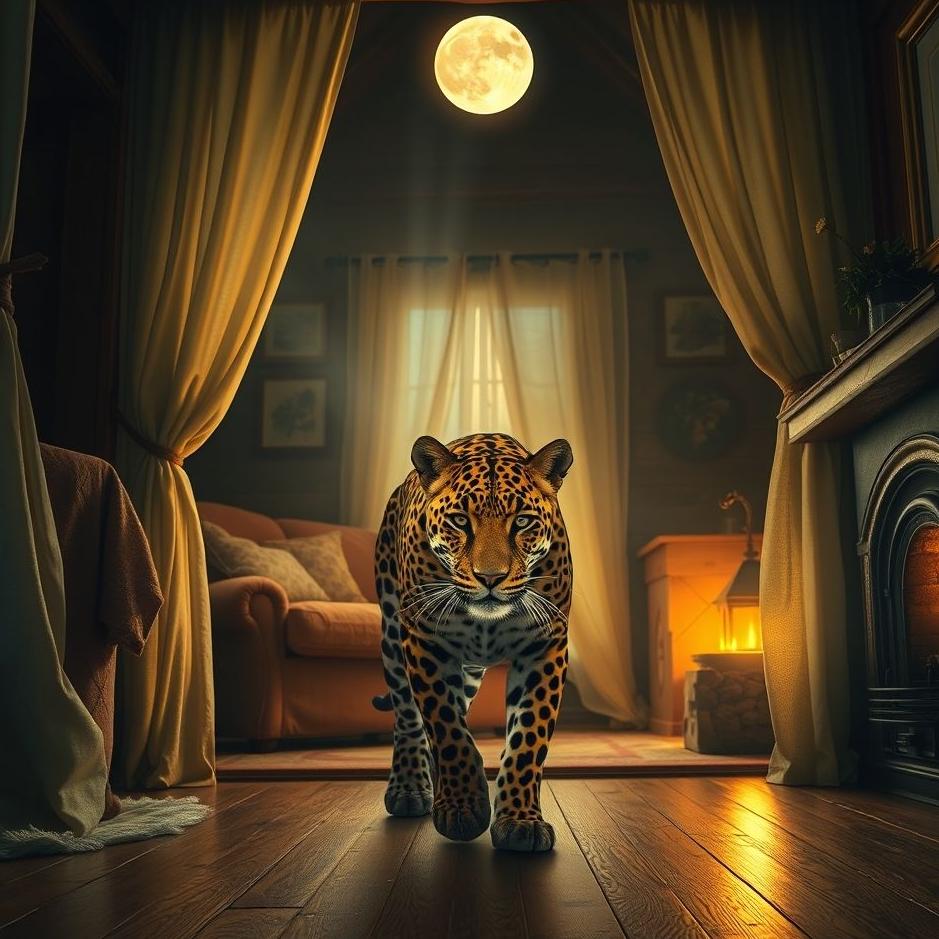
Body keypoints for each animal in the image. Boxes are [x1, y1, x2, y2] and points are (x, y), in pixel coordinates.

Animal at [372, 431, 573, 852]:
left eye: (522, 521)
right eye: (460, 521)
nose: (490, 578)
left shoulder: (546, 644)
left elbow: (528, 738)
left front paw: (520, 821)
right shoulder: (424, 638)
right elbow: (445, 726)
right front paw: (462, 809)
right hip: (392, 634)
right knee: (407, 716)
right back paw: (410, 788)